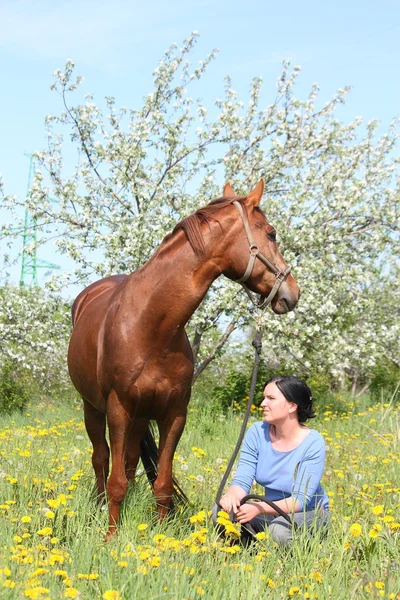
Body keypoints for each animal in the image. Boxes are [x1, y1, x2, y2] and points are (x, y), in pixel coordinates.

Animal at [68, 179, 300, 540]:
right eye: (272, 233)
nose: (292, 292)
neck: (153, 327)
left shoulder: (174, 414)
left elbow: (162, 483)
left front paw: (160, 534)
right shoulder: (118, 410)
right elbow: (115, 478)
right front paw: (111, 536)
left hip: (140, 417)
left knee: (130, 461)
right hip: (93, 407)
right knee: (101, 458)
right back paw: (99, 505)